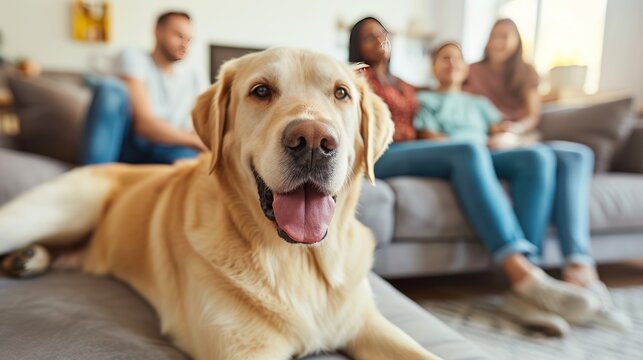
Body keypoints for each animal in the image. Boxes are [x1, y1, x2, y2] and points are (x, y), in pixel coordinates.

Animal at [0, 47, 442, 360]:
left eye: (342, 93)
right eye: (261, 91)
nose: (314, 140)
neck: (297, 258)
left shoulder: (367, 323)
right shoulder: (242, 348)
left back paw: (28, 259)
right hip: (63, 207)